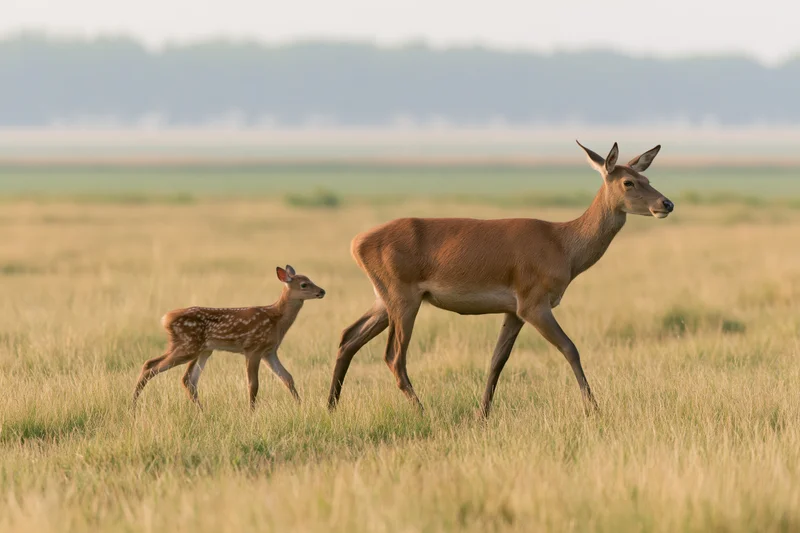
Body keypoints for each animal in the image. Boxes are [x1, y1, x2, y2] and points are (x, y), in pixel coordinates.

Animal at [132, 265, 325, 410]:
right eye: (304, 284)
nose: (322, 291)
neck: (277, 319)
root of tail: (166, 319)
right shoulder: (253, 348)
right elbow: (253, 384)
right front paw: (251, 412)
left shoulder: (269, 352)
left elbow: (287, 378)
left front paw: (301, 406)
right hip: (188, 346)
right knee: (152, 367)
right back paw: (133, 406)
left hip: (201, 349)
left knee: (185, 379)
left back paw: (201, 411)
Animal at [327, 141, 674, 417]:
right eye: (628, 182)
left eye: (647, 177)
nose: (666, 204)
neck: (563, 245)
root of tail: (357, 242)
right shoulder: (534, 304)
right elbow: (570, 348)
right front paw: (595, 409)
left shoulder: (513, 311)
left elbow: (497, 360)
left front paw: (482, 414)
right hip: (404, 300)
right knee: (393, 357)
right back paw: (424, 412)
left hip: (384, 300)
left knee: (348, 337)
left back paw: (330, 406)